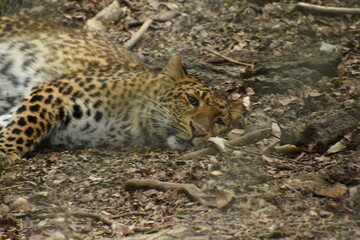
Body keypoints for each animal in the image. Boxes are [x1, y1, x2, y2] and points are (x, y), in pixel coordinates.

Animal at [0, 15, 245, 168]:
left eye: (219, 121)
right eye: (192, 100)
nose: (199, 131)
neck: (134, 123)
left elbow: (12, 122)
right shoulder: (54, 91)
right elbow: (24, 128)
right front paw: (4, 151)